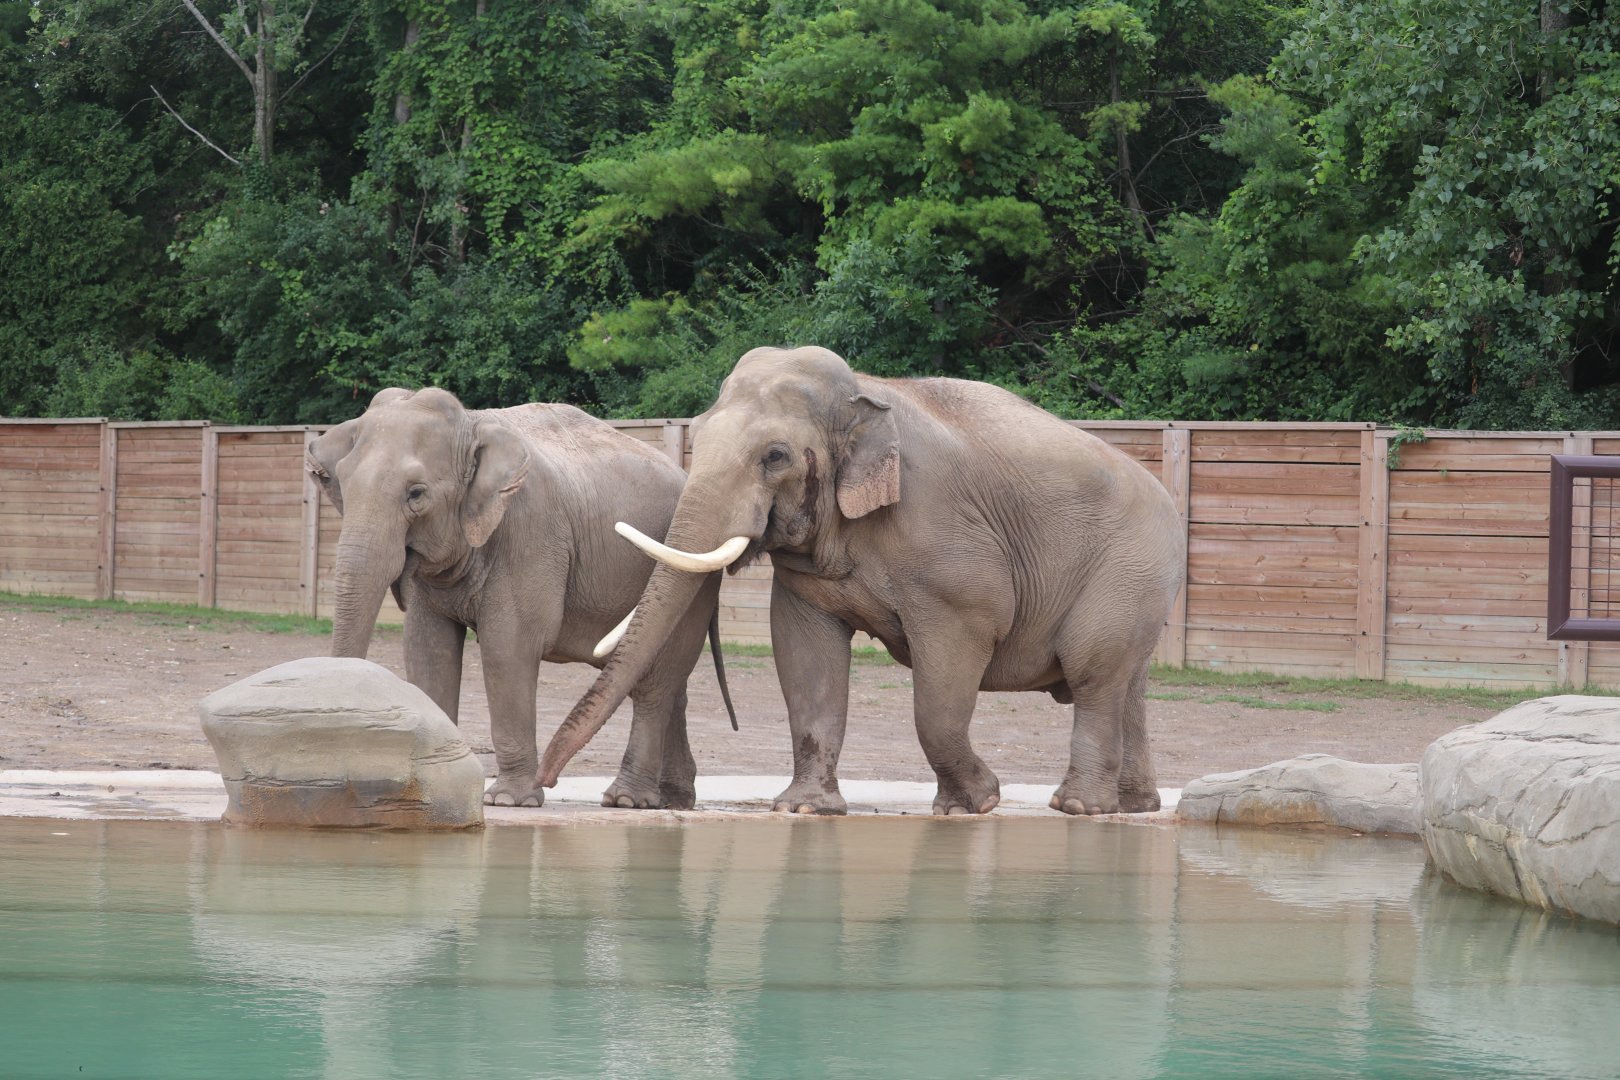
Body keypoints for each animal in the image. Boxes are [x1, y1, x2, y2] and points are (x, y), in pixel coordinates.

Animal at [305, 386, 733, 810]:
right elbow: (428, 648)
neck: (471, 421)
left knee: (657, 681)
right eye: (343, 485)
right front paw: (441, 787)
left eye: (416, 493)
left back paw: (627, 800)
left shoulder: (530, 532)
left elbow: (507, 647)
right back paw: (674, 801)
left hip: (689, 577)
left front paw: (508, 801)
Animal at [539, 346, 1184, 817]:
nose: (546, 782)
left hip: (1128, 567)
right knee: (1124, 682)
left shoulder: (947, 541)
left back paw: (1079, 809)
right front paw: (804, 810)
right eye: (694, 434)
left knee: (1092, 671)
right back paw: (1134, 807)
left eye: (775, 456)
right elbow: (804, 653)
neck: (865, 394)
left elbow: (954, 659)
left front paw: (974, 805)